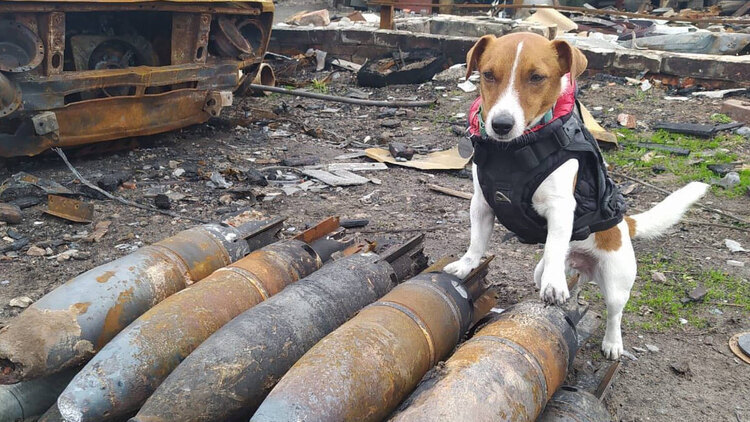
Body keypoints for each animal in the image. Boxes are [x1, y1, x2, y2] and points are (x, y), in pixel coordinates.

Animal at [444, 32, 708, 360]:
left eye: (536, 77)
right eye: (488, 75)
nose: (501, 125)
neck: (515, 151)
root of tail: (625, 225)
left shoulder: (560, 208)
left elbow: (555, 245)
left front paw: (554, 285)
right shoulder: (482, 204)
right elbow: (476, 242)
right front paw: (466, 264)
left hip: (617, 282)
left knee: (614, 313)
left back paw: (612, 342)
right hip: (546, 269)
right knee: (572, 282)